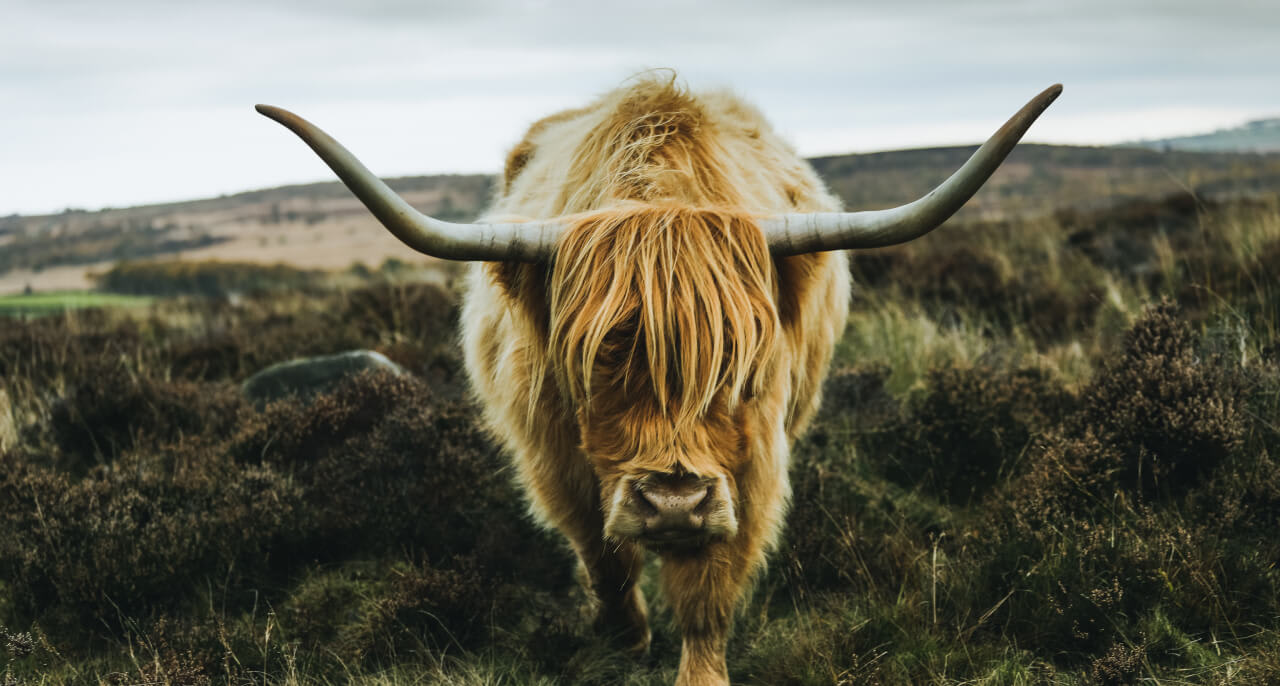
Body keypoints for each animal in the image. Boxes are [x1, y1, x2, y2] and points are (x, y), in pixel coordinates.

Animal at [259, 74, 1059, 686]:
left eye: (739, 362)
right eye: (596, 360)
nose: (673, 502)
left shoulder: (747, 472)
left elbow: (709, 592)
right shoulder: (558, 461)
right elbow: (604, 555)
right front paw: (624, 641)